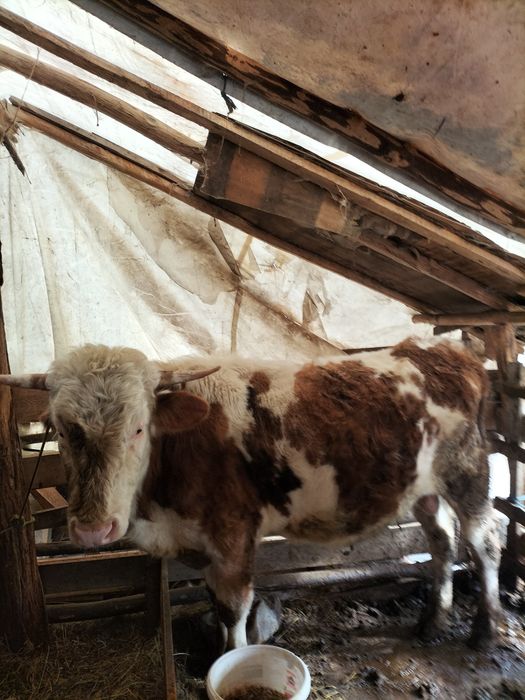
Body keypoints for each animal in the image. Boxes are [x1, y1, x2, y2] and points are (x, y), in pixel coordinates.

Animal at [0, 338, 501, 650]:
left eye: (139, 428)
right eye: (60, 429)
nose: (92, 529)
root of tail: (449, 349)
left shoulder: (234, 533)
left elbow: (234, 607)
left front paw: (232, 657)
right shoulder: (204, 544)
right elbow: (215, 604)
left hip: (469, 472)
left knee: (484, 542)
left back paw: (485, 630)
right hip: (424, 488)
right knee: (442, 541)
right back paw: (433, 622)